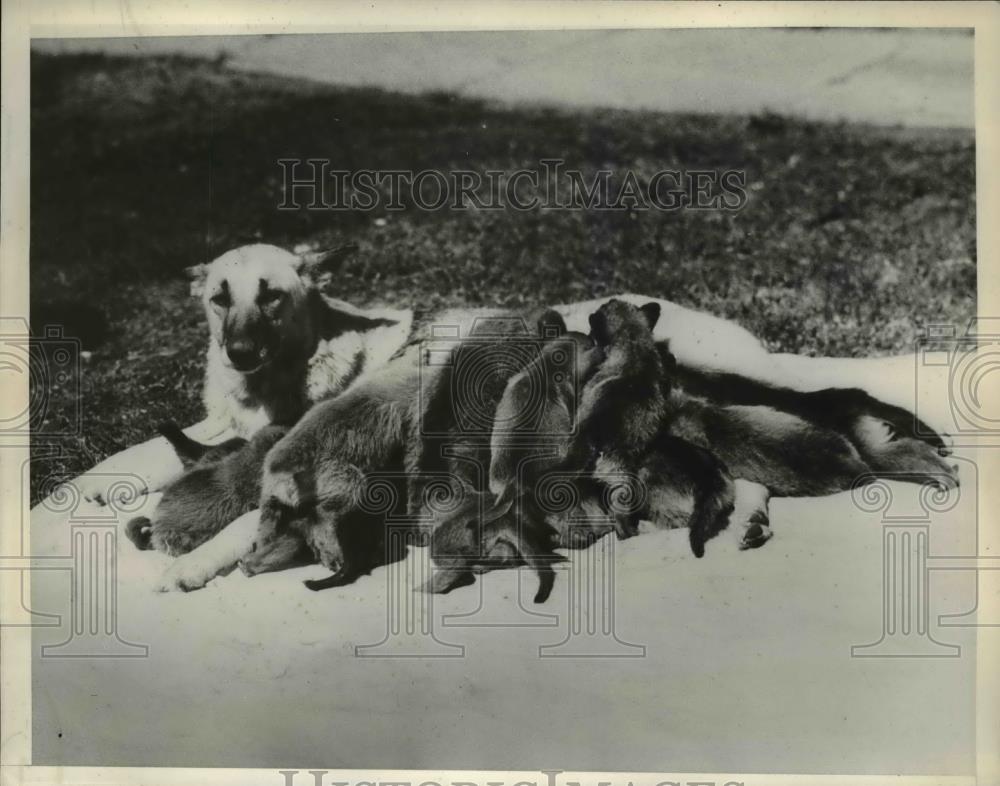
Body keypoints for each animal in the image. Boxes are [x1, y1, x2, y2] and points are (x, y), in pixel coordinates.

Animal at [60, 243, 952, 588]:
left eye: (271, 296)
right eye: (219, 298)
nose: (238, 350)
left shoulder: (284, 446)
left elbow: (245, 508)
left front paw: (194, 557)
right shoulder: (227, 432)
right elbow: (138, 452)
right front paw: (95, 490)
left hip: (719, 372)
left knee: (830, 405)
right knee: (748, 458)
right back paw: (751, 515)